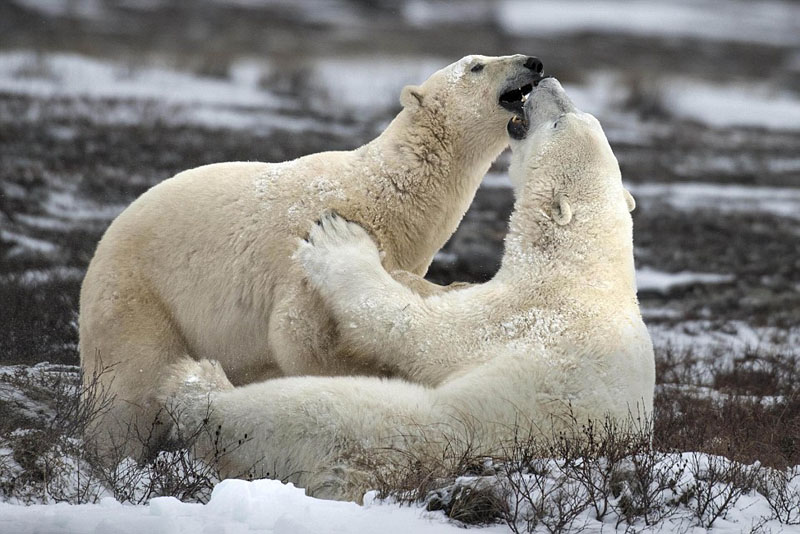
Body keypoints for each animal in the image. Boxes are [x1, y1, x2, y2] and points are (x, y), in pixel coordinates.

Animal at [79, 53, 544, 456]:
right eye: (476, 65)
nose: (533, 62)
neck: (387, 192)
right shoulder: (306, 247)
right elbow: (298, 335)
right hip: (137, 299)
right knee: (132, 391)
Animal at [162, 78, 656, 502]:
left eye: (559, 123)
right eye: (583, 117)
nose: (546, 81)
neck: (581, 269)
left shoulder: (520, 317)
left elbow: (420, 332)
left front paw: (338, 241)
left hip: (433, 434)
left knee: (324, 410)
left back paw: (200, 388)